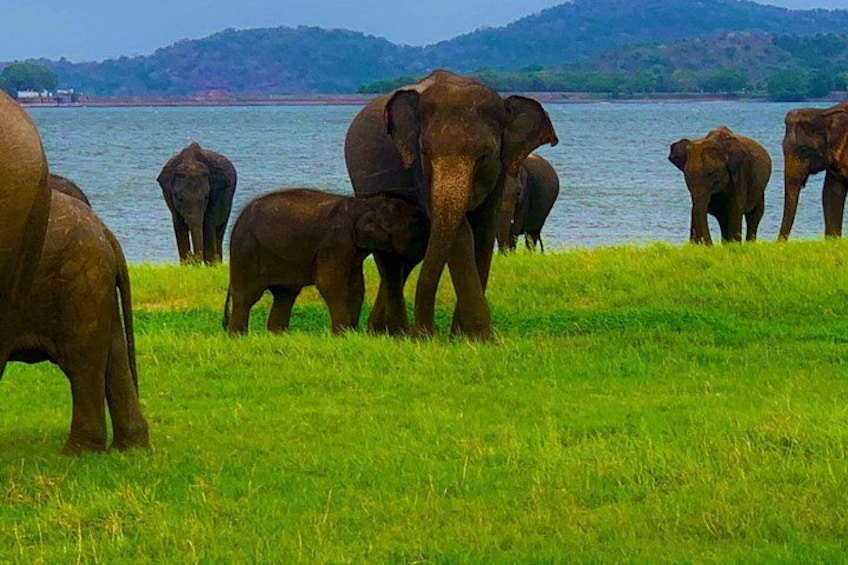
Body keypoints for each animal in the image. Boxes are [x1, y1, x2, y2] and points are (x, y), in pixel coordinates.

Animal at [6, 191, 149, 454]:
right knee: (115, 357)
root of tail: (105, 230)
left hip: (79, 283)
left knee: (82, 363)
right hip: (96, 285)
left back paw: (76, 452)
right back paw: (129, 448)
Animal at [223, 188, 429, 335]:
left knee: (285, 294)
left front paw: (351, 334)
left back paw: (278, 335)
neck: (363, 203)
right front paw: (342, 334)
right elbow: (330, 284)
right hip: (246, 251)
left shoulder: (351, 249)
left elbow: (356, 287)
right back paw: (237, 336)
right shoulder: (335, 241)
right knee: (247, 296)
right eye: (415, 228)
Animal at [344, 69, 558, 339]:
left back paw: (384, 330)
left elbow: (483, 232)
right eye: (424, 152)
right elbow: (462, 235)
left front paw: (469, 337)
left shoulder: (500, 173)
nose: (422, 334)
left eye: (485, 155)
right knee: (389, 256)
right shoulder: (419, 172)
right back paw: (392, 332)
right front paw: (478, 336)